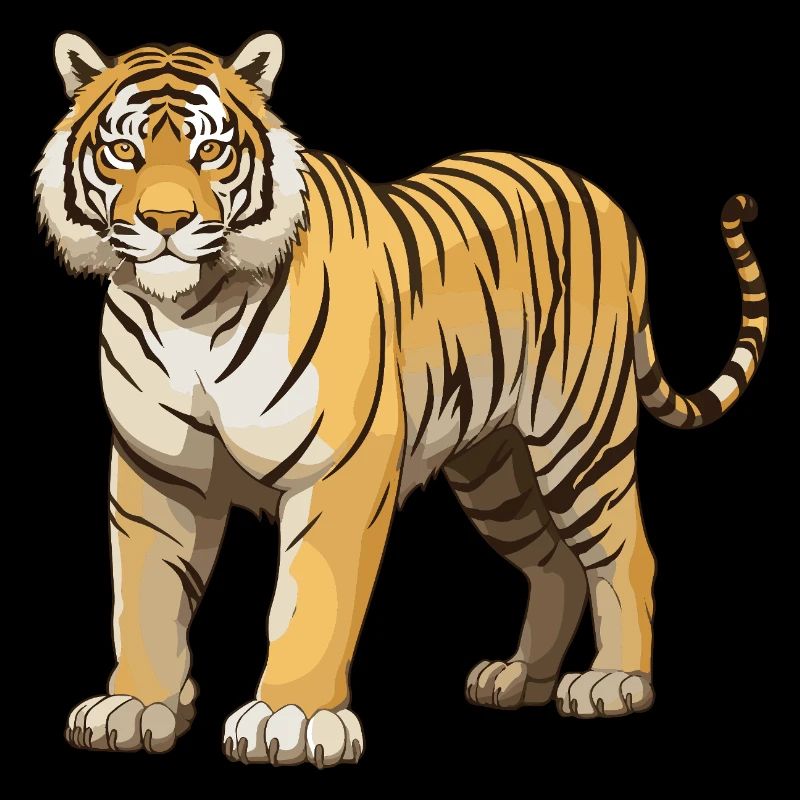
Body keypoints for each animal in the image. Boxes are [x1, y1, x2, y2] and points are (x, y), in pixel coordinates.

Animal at [36, 31, 768, 766]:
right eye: (122, 150)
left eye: (210, 151)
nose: (165, 220)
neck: (189, 311)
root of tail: (603, 196)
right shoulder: (156, 469)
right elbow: (146, 593)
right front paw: (138, 706)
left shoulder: (339, 466)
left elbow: (313, 596)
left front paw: (291, 717)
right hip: (495, 471)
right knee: (554, 562)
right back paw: (519, 679)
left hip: (578, 439)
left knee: (625, 553)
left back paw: (615, 682)